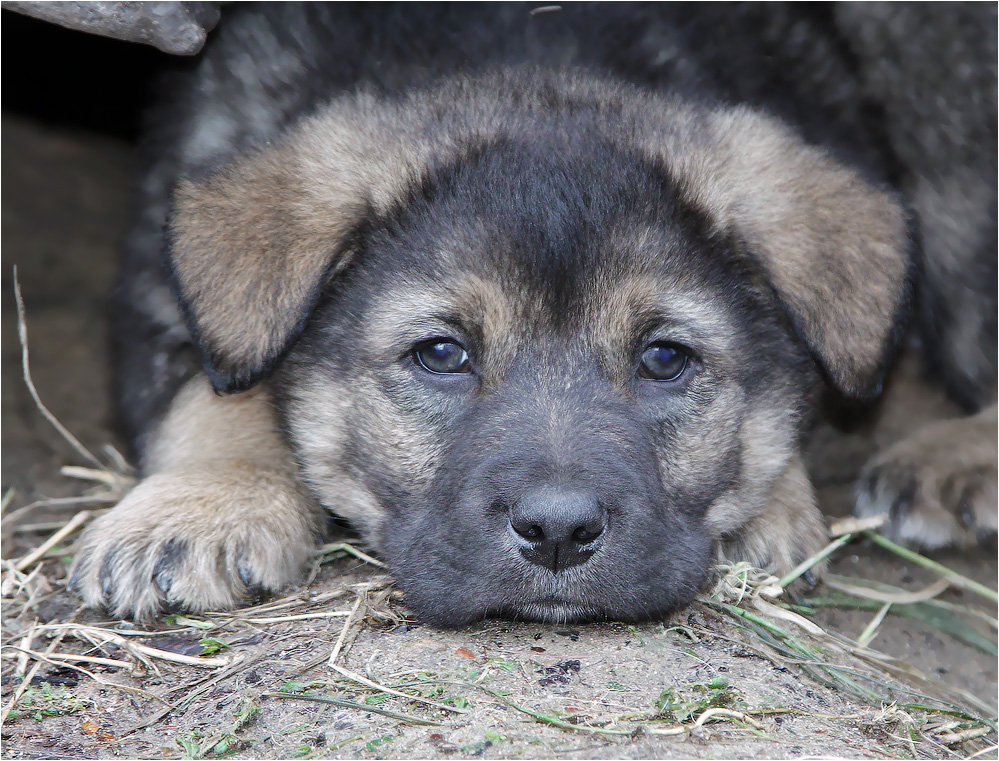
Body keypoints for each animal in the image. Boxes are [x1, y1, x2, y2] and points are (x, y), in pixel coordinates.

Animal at [68, 4, 992, 624]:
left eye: (664, 359)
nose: (557, 532)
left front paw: (769, 504)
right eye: (441, 354)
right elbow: (214, 389)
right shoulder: (160, 288)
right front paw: (201, 509)